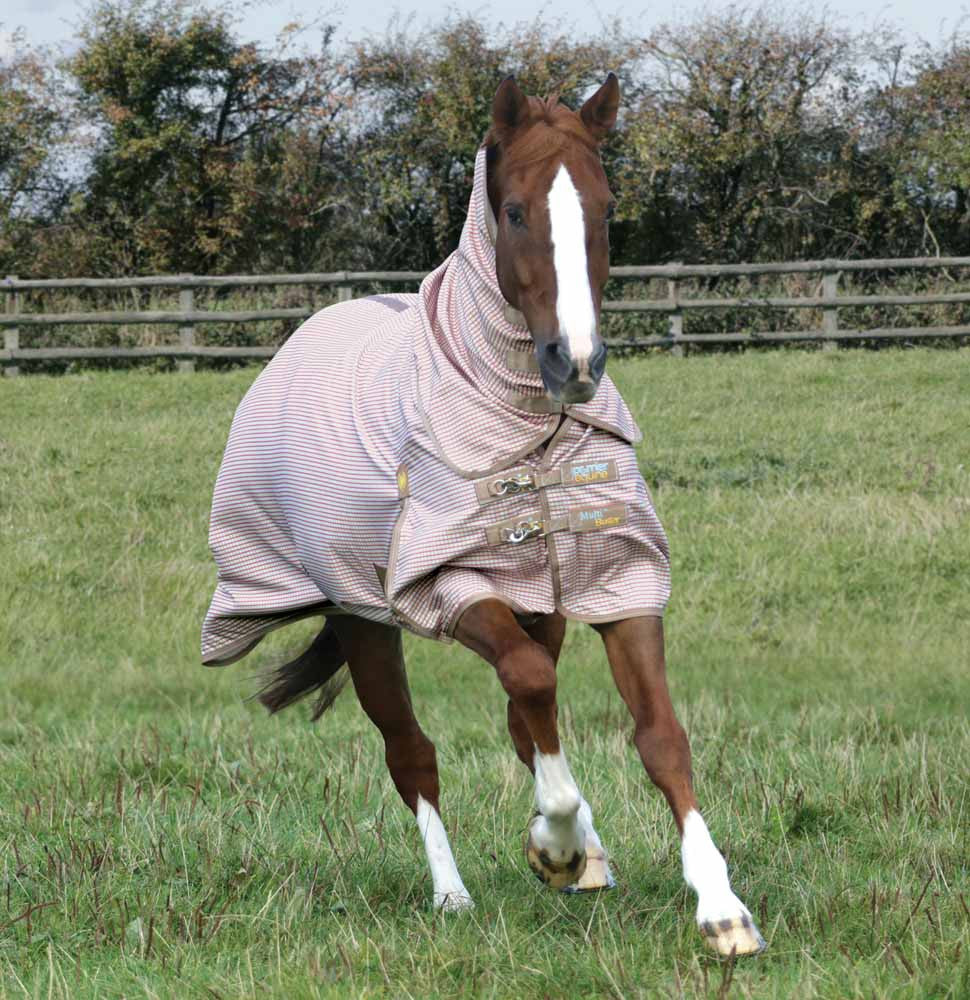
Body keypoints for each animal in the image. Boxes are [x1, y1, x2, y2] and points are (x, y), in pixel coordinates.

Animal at [201, 74, 765, 958]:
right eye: (515, 212)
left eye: (607, 208)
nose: (576, 362)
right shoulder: (447, 586)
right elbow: (529, 687)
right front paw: (554, 844)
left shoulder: (615, 579)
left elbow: (656, 734)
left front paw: (719, 908)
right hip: (364, 618)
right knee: (415, 752)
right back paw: (456, 894)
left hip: (540, 603)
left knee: (521, 717)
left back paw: (583, 857)